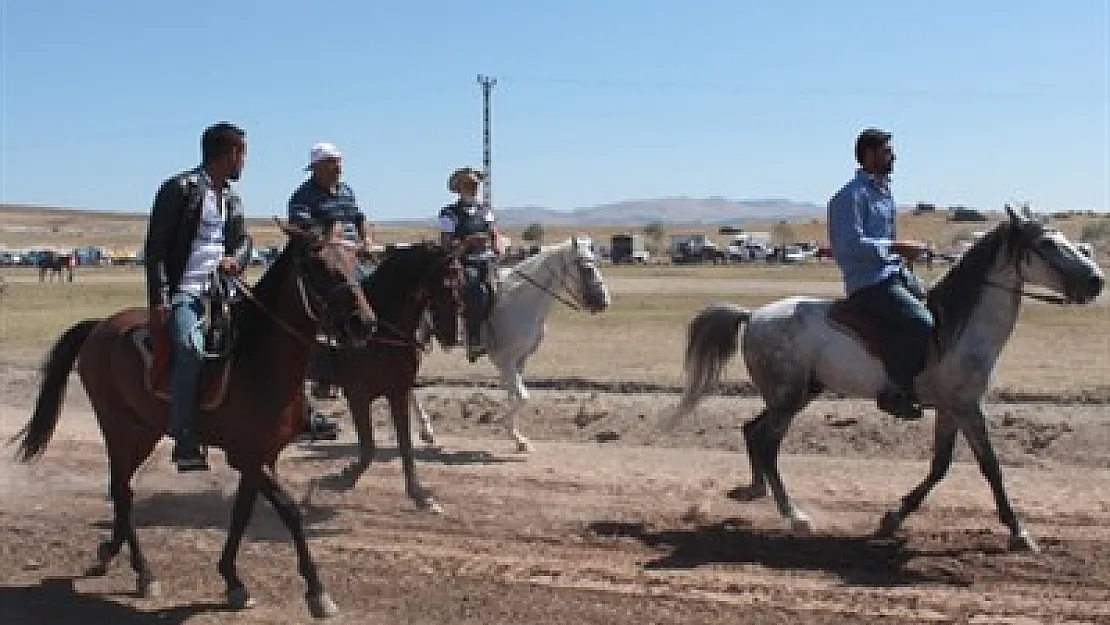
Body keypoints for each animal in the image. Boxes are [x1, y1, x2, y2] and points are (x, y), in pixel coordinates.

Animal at [9, 222, 377, 617]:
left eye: (355, 261)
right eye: (318, 266)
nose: (365, 323)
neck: (259, 361)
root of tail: (99, 327)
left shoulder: (264, 456)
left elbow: (242, 513)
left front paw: (232, 579)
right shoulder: (246, 455)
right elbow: (290, 510)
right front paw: (317, 591)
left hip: (145, 430)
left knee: (122, 491)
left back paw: (109, 553)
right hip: (118, 426)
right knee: (122, 490)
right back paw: (144, 572)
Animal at [306, 242, 461, 510]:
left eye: (460, 283)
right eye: (444, 284)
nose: (450, 335)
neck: (380, 332)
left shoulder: (397, 392)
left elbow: (406, 445)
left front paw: (419, 496)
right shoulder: (358, 396)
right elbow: (368, 448)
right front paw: (344, 477)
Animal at [412, 237, 612, 452]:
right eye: (586, 268)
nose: (604, 301)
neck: (521, 299)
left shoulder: (519, 360)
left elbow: (514, 395)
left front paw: (518, 438)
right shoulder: (503, 359)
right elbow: (524, 397)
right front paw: (499, 420)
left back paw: (426, 432)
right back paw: (426, 431)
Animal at [674, 206, 1101, 552]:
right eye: (1047, 243)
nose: (1096, 280)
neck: (956, 329)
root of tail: (753, 316)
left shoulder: (951, 410)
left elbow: (940, 466)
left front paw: (893, 518)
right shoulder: (967, 407)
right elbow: (991, 467)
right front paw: (1019, 532)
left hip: (796, 394)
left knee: (752, 432)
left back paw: (753, 491)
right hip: (788, 397)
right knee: (766, 443)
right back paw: (794, 516)